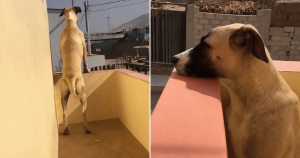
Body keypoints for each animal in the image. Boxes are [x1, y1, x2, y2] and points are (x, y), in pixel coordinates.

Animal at [58, 5, 91, 135]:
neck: (70, 24)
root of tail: (71, 78)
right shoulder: (84, 45)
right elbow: (86, 60)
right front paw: (87, 70)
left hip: (63, 96)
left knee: (64, 113)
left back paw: (66, 130)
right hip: (82, 94)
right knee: (83, 112)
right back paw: (87, 129)